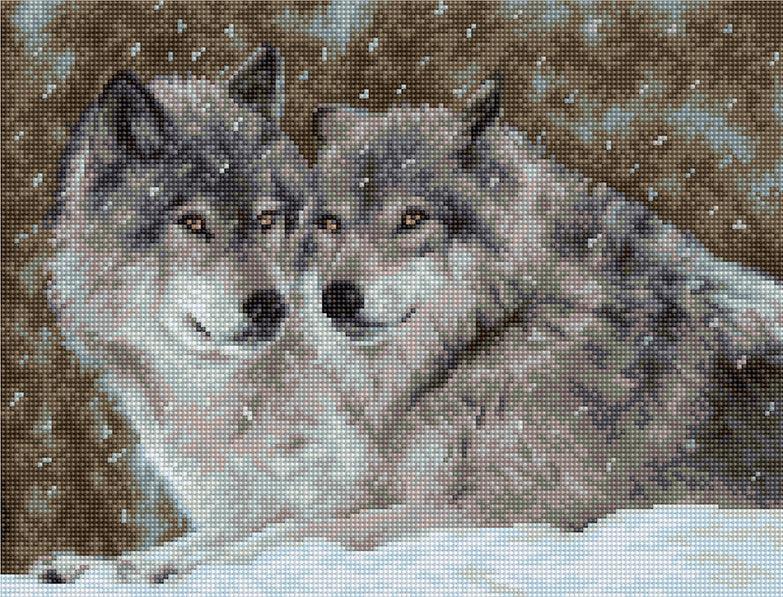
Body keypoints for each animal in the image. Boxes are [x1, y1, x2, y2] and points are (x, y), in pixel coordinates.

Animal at [36, 46, 372, 583]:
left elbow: (259, 542)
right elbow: (197, 541)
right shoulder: (239, 507)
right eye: (193, 223)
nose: (271, 306)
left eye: (266, 219)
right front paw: (90, 565)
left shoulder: (365, 494)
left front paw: (137, 570)